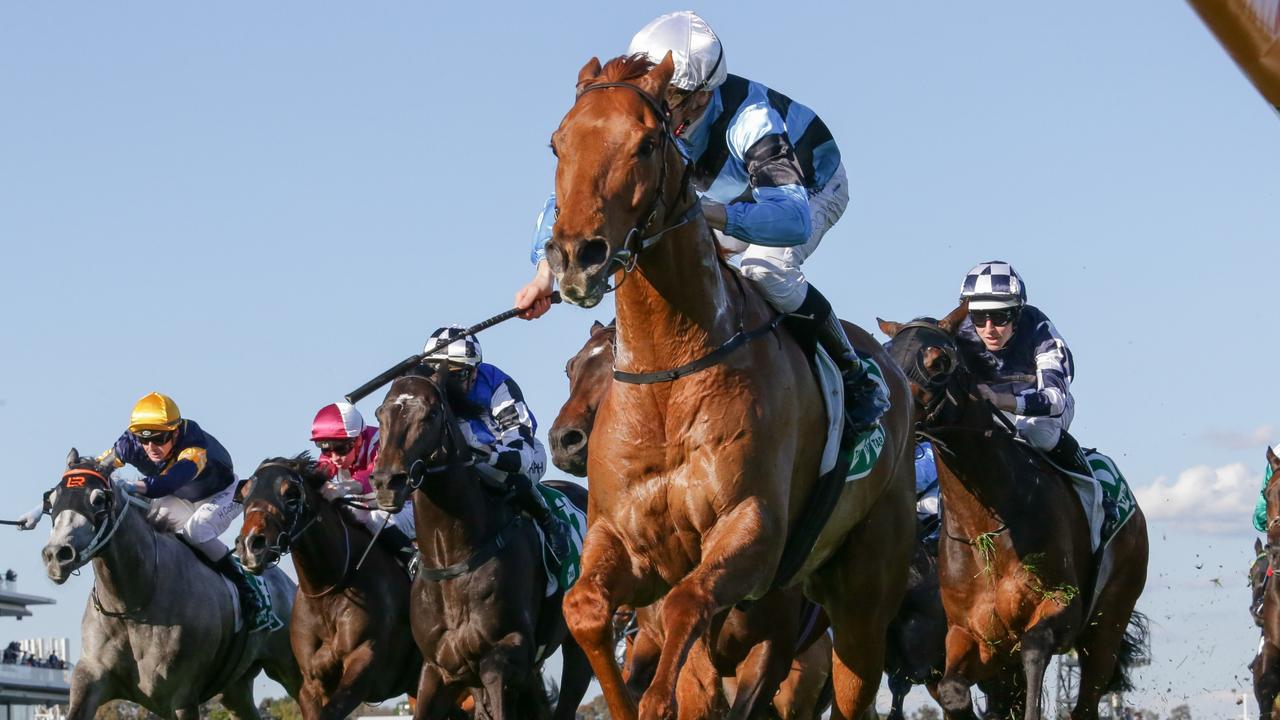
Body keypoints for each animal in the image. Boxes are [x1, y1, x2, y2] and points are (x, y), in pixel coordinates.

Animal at [39, 448, 302, 717]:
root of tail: (286, 584)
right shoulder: (92, 676)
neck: (130, 606)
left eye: (99, 499)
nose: (57, 554)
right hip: (234, 690)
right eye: (52, 499)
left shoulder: (180, 697)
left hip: (290, 668)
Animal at [232, 453, 422, 717]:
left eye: (291, 494)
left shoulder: (364, 663)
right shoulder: (312, 681)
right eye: (245, 494)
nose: (250, 545)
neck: (327, 594)